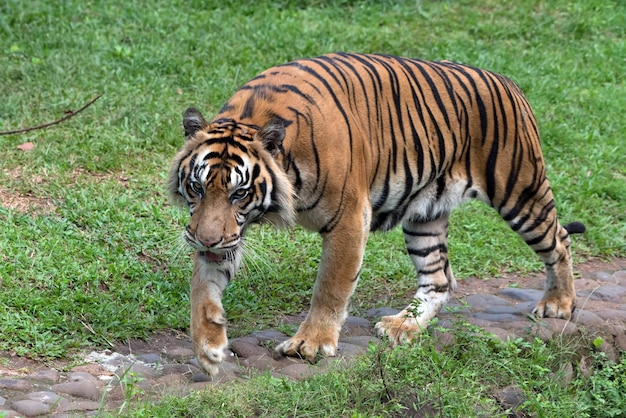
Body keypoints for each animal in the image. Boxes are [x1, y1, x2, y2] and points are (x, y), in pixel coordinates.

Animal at [167, 52, 584, 376]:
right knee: (439, 278)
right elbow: (202, 287)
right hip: (425, 215)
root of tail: (508, 82)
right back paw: (405, 325)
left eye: (239, 193)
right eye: (197, 187)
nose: (205, 240)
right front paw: (208, 347)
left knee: (559, 239)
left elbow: (331, 286)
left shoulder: (349, 219)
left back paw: (558, 303)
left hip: (520, 191)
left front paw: (311, 344)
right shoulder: (223, 231)